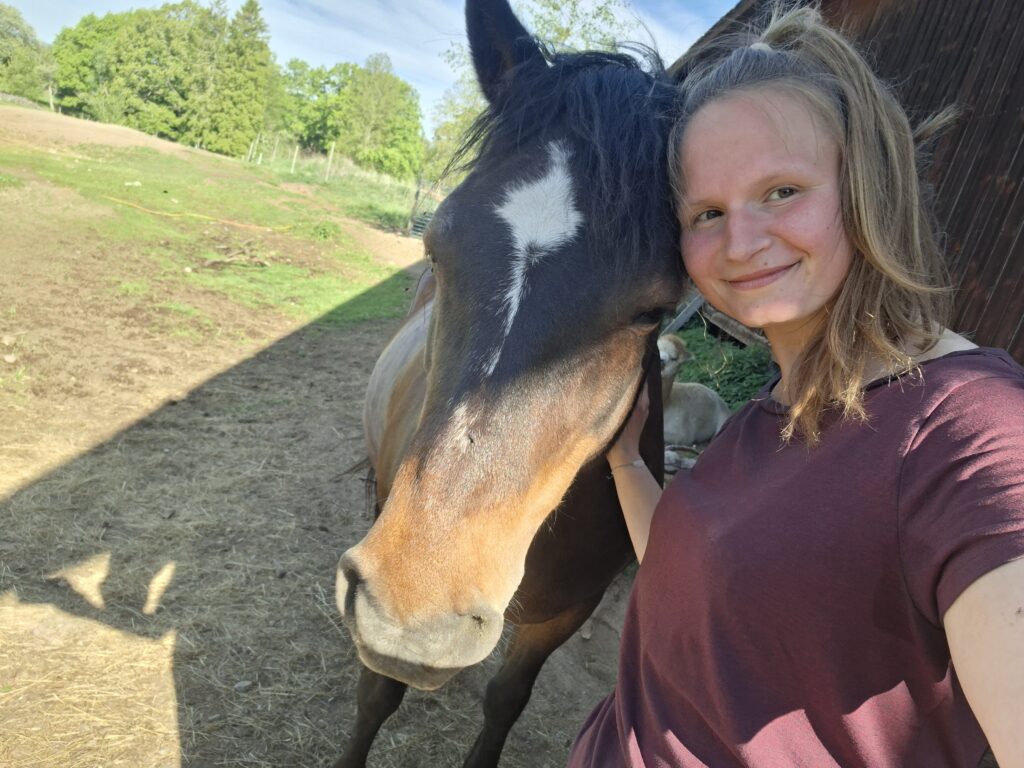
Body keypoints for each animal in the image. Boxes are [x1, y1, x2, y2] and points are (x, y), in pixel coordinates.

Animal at [334, 0, 683, 764]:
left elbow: (506, 700)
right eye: (436, 246)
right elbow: (376, 695)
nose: (417, 615)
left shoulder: (565, 614)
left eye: (655, 309)